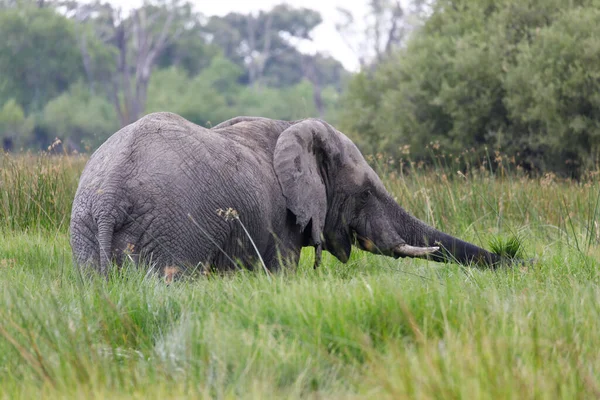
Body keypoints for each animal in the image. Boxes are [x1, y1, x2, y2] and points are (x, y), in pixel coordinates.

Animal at [68, 111, 504, 276]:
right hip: (171, 231)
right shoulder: (281, 222)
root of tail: (109, 199)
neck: (290, 127)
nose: (513, 260)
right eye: (365, 193)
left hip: (84, 233)